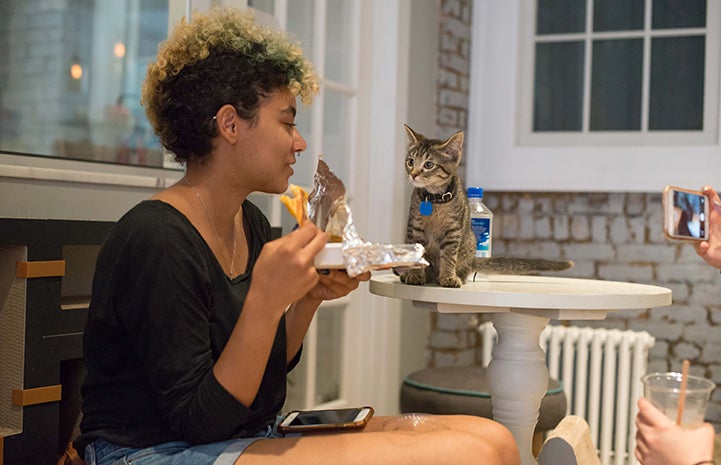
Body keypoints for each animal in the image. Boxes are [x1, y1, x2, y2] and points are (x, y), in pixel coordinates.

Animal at [402, 125, 572, 288]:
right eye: (410, 162)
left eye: (428, 165)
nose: (413, 174)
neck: (434, 201)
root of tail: (472, 260)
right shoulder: (415, 228)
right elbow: (417, 256)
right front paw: (415, 275)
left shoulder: (453, 231)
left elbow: (449, 256)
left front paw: (448, 277)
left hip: (468, 244)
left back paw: (454, 276)